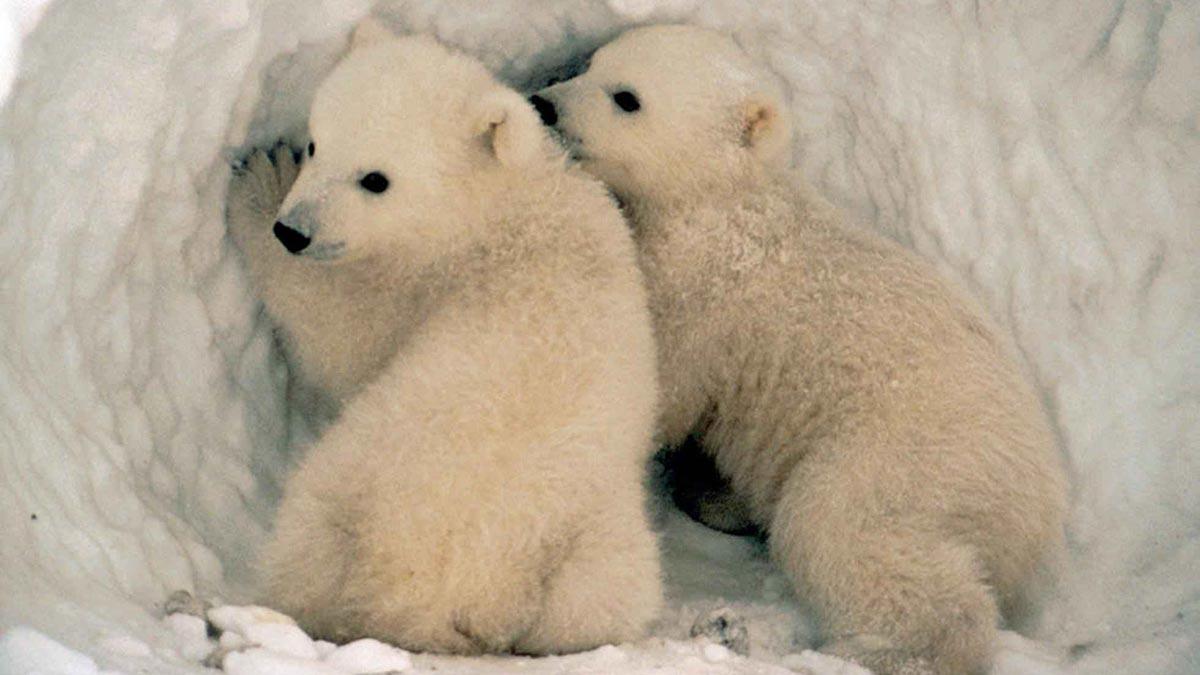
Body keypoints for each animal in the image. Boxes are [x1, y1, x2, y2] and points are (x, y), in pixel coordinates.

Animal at [225, 24, 663, 655]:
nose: (293, 230)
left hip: (349, 487)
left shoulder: (415, 283)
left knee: (305, 544)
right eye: (316, 143)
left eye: (375, 179)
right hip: (590, 555)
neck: (497, 205)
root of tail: (442, 597)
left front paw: (258, 182)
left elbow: (339, 336)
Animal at [533, 24, 1068, 675]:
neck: (723, 201)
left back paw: (877, 649)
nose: (545, 104)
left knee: (842, 527)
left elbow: (660, 385)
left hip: (910, 456)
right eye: (590, 64)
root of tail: (1040, 508)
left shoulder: (701, 293)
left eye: (627, 97)